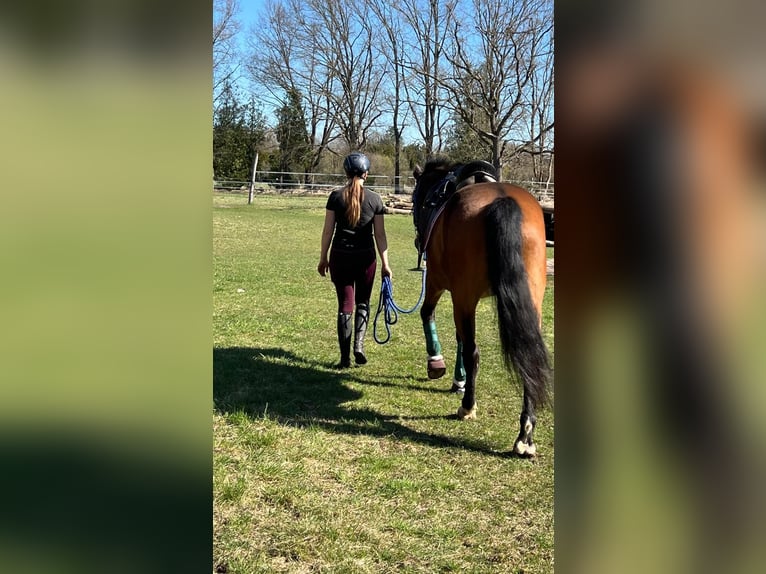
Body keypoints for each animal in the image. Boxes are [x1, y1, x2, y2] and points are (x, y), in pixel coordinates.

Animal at [412, 158, 551, 456]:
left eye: (418, 200)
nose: (418, 241)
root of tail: (501, 200)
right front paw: (458, 379)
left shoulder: (440, 283)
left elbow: (429, 315)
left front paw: (437, 365)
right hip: (531, 300)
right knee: (530, 357)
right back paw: (525, 436)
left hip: (463, 296)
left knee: (473, 351)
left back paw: (467, 407)